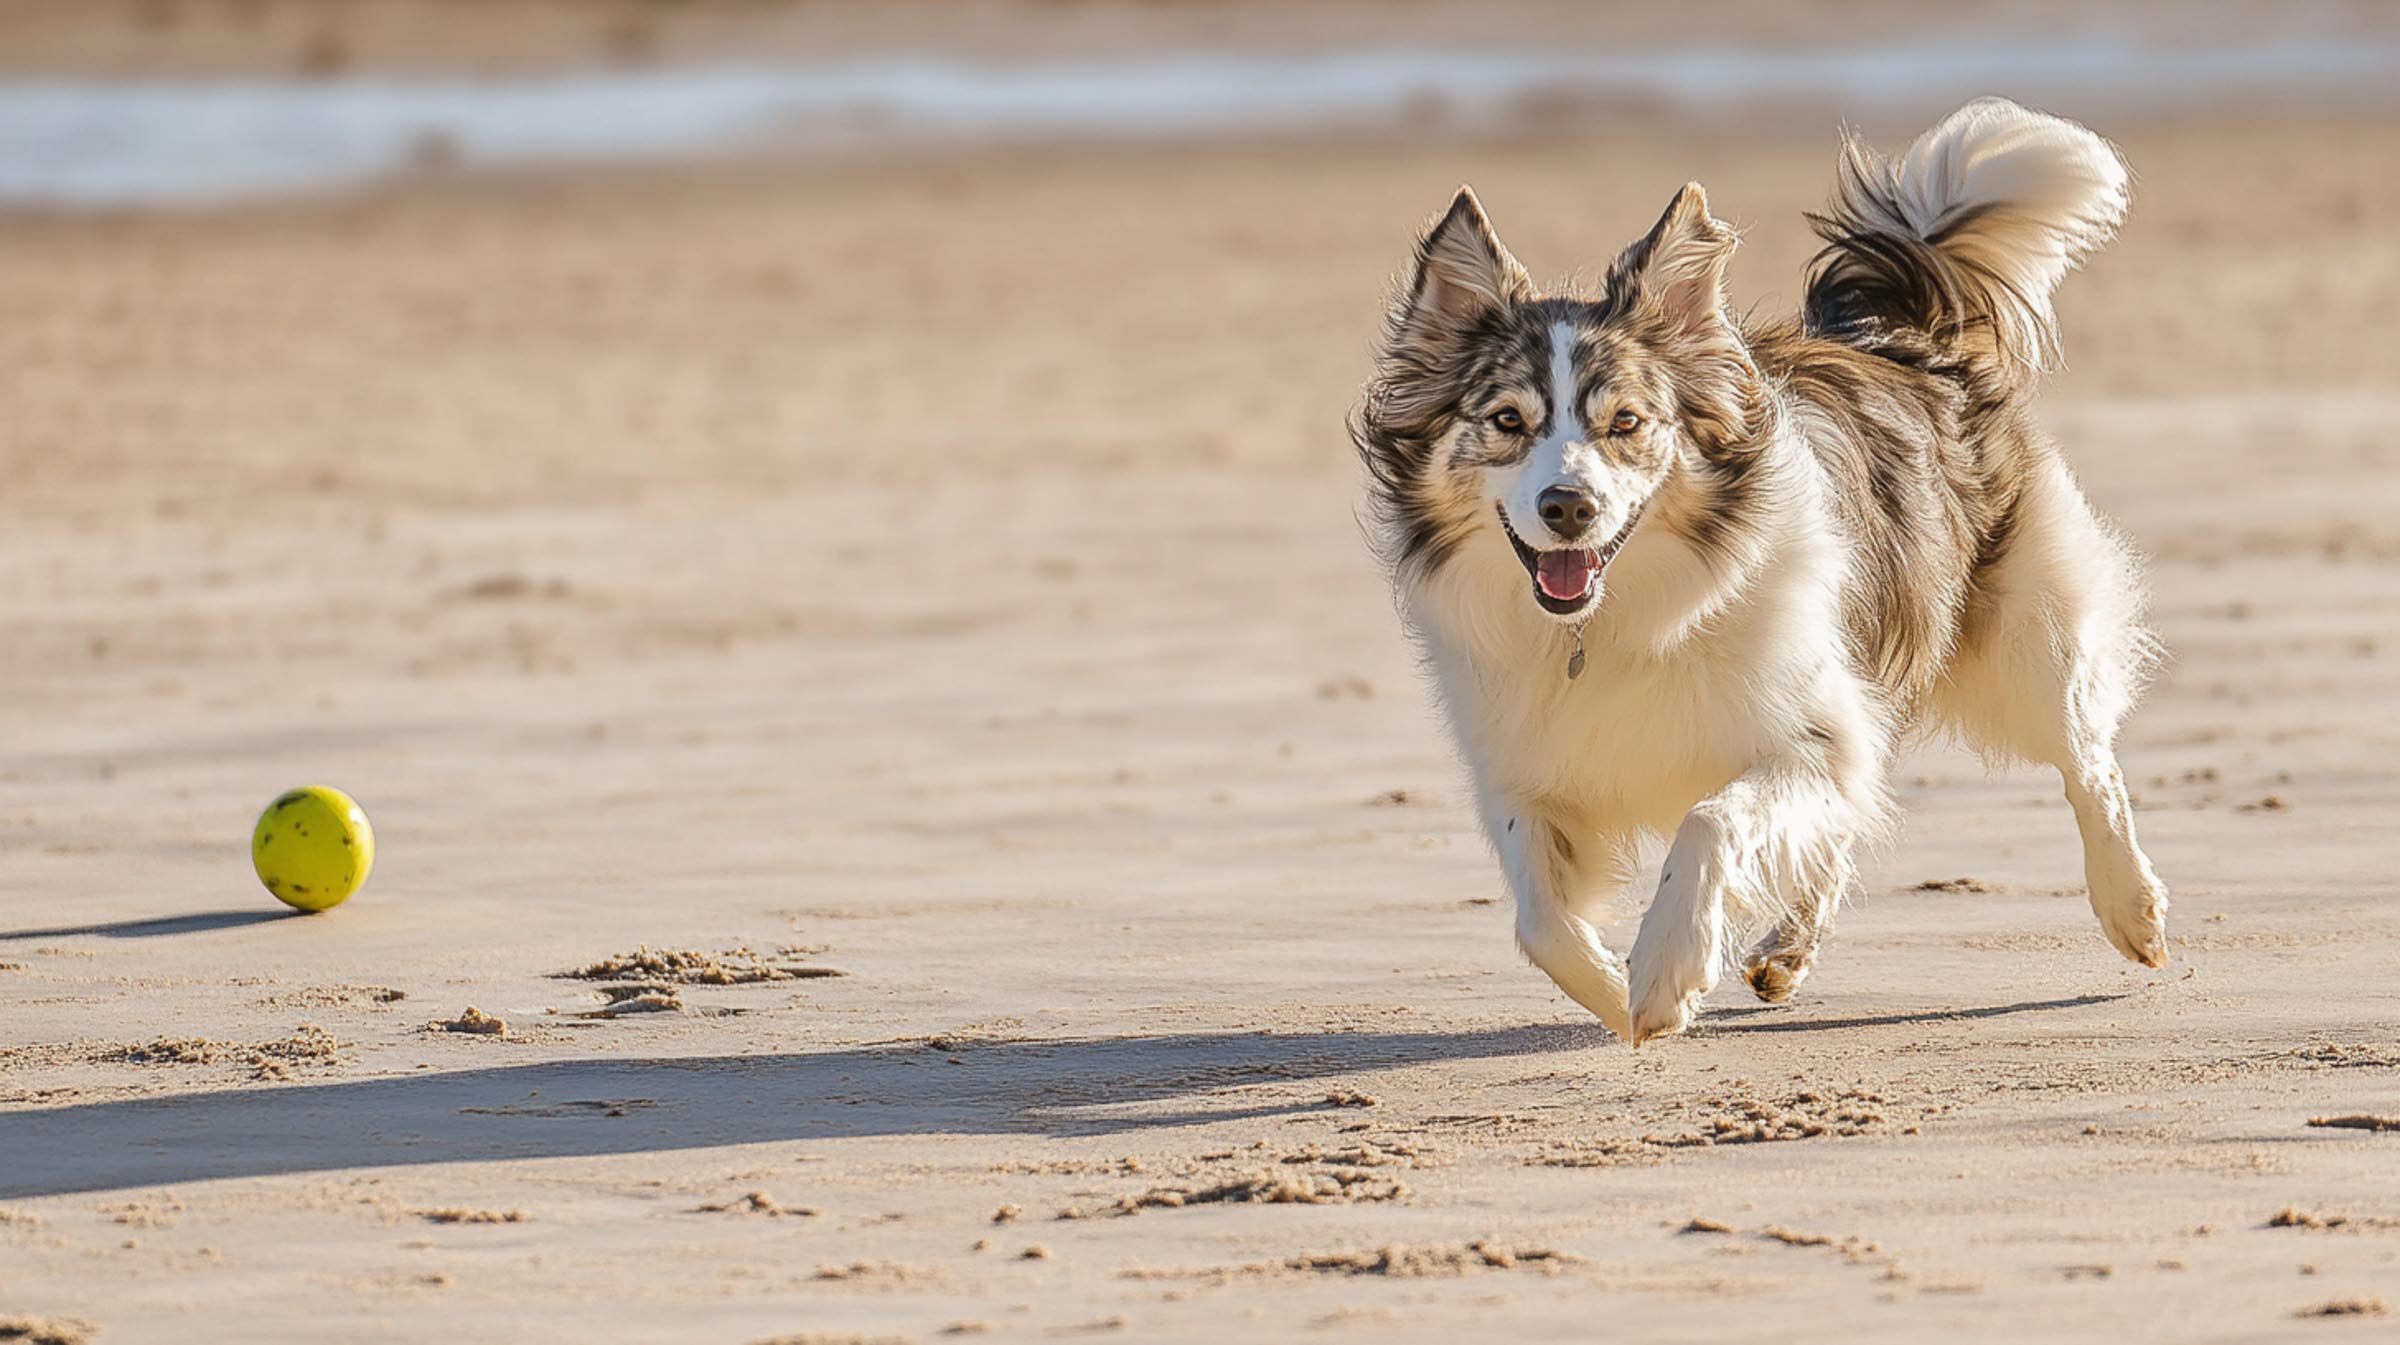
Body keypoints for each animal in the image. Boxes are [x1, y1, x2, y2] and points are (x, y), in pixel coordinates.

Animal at [1363, 99, 2169, 1047]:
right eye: (1506, 420)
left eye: (1627, 422)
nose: (1568, 507)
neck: (1608, 621)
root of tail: (1897, 332)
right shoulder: (1526, 762)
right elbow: (1540, 920)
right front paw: (1618, 992)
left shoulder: (1806, 727)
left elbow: (1709, 820)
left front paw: (1665, 971)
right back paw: (1787, 948)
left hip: (2024, 636)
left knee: (2087, 761)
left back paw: (2132, 909)